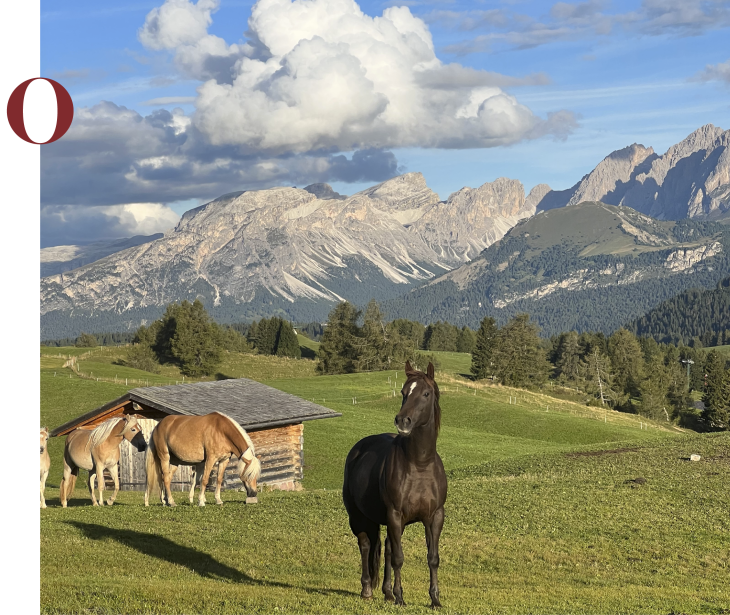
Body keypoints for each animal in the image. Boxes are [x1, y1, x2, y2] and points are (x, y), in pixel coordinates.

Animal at [343, 361, 447, 608]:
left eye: (425, 394)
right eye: (403, 392)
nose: (402, 421)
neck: (419, 464)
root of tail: (357, 449)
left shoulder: (435, 516)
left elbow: (433, 558)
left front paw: (435, 599)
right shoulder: (395, 514)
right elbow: (399, 558)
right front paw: (400, 597)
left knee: (387, 548)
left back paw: (387, 592)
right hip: (359, 517)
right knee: (366, 545)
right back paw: (368, 590)